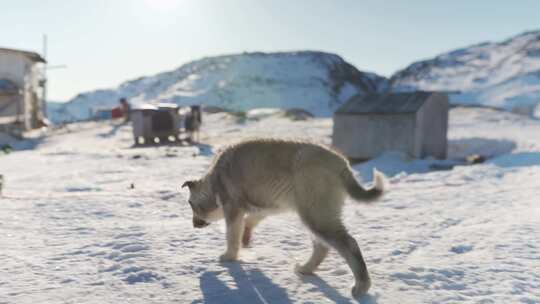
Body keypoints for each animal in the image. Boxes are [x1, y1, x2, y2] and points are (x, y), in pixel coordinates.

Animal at [185, 139, 384, 298]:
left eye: (190, 204)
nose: (194, 225)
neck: (214, 181)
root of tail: (342, 164)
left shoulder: (233, 209)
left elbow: (231, 235)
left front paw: (229, 256)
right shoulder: (268, 205)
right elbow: (250, 221)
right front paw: (246, 237)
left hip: (316, 215)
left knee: (349, 245)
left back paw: (361, 286)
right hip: (313, 214)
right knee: (322, 247)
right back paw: (306, 269)